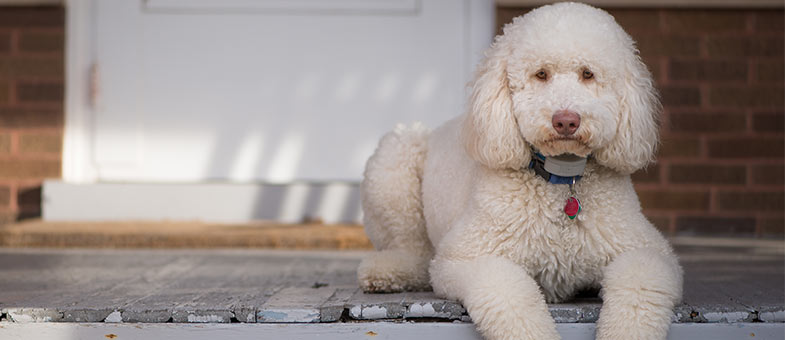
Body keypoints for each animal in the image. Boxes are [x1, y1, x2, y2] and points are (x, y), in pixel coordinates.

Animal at [356, 2, 680, 340]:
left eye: (588, 74)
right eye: (541, 74)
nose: (566, 121)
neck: (560, 181)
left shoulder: (650, 253)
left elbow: (639, 287)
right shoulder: (467, 257)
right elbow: (511, 295)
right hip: (397, 157)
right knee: (413, 251)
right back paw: (386, 270)